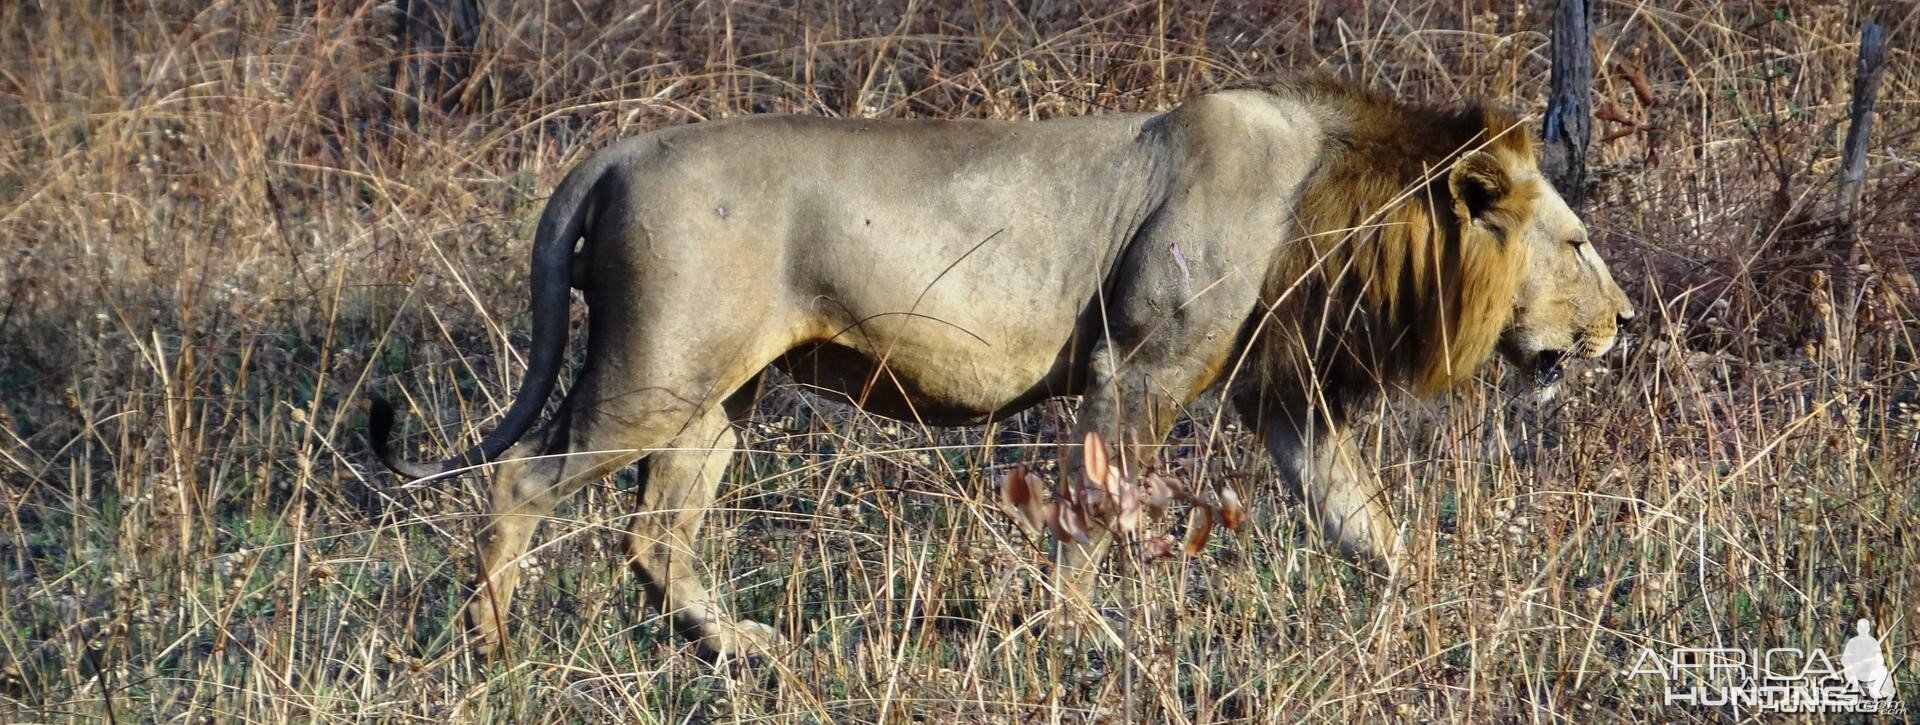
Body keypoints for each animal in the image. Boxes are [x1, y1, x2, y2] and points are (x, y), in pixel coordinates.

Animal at [370, 76, 1635, 659]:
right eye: (1577, 242)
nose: (1625, 322)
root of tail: (621, 148)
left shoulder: (1284, 397)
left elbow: (1365, 523)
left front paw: (1444, 612)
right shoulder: (1137, 371)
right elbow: (1094, 510)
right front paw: (1086, 639)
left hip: (715, 397)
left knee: (653, 532)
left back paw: (738, 648)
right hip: (654, 372)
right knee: (519, 483)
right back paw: (489, 646)